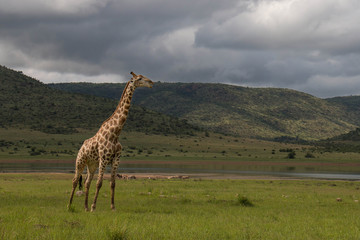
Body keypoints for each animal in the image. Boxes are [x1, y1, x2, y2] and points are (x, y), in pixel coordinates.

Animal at [67, 71, 153, 212]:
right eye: (139, 78)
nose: (151, 82)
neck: (115, 133)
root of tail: (81, 147)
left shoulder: (116, 159)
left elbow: (112, 183)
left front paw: (112, 207)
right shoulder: (104, 158)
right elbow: (99, 183)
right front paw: (94, 207)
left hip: (92, 165)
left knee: (87, 182)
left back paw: (85, 207)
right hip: (80, 161)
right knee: (75, 181)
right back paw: (69, 206)